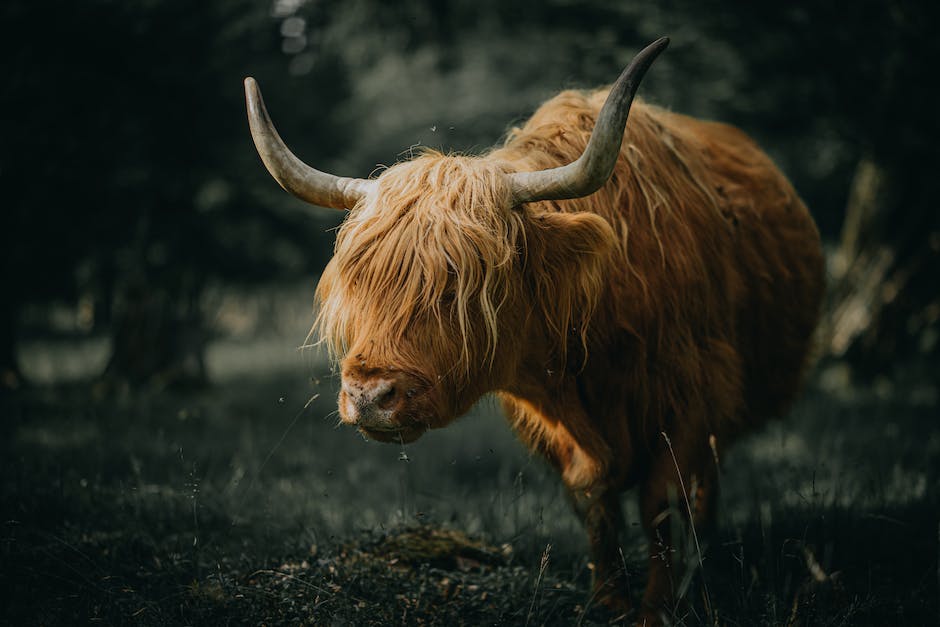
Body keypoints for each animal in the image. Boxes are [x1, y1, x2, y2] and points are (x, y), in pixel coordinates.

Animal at [242, 39, 824, 624]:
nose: (368, 396)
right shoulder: (555, 426)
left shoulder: (691, 398)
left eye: (458, 282)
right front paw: (609, 603)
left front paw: (657, 608)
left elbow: (662, 502)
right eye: (360, 280)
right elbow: (593, 500)